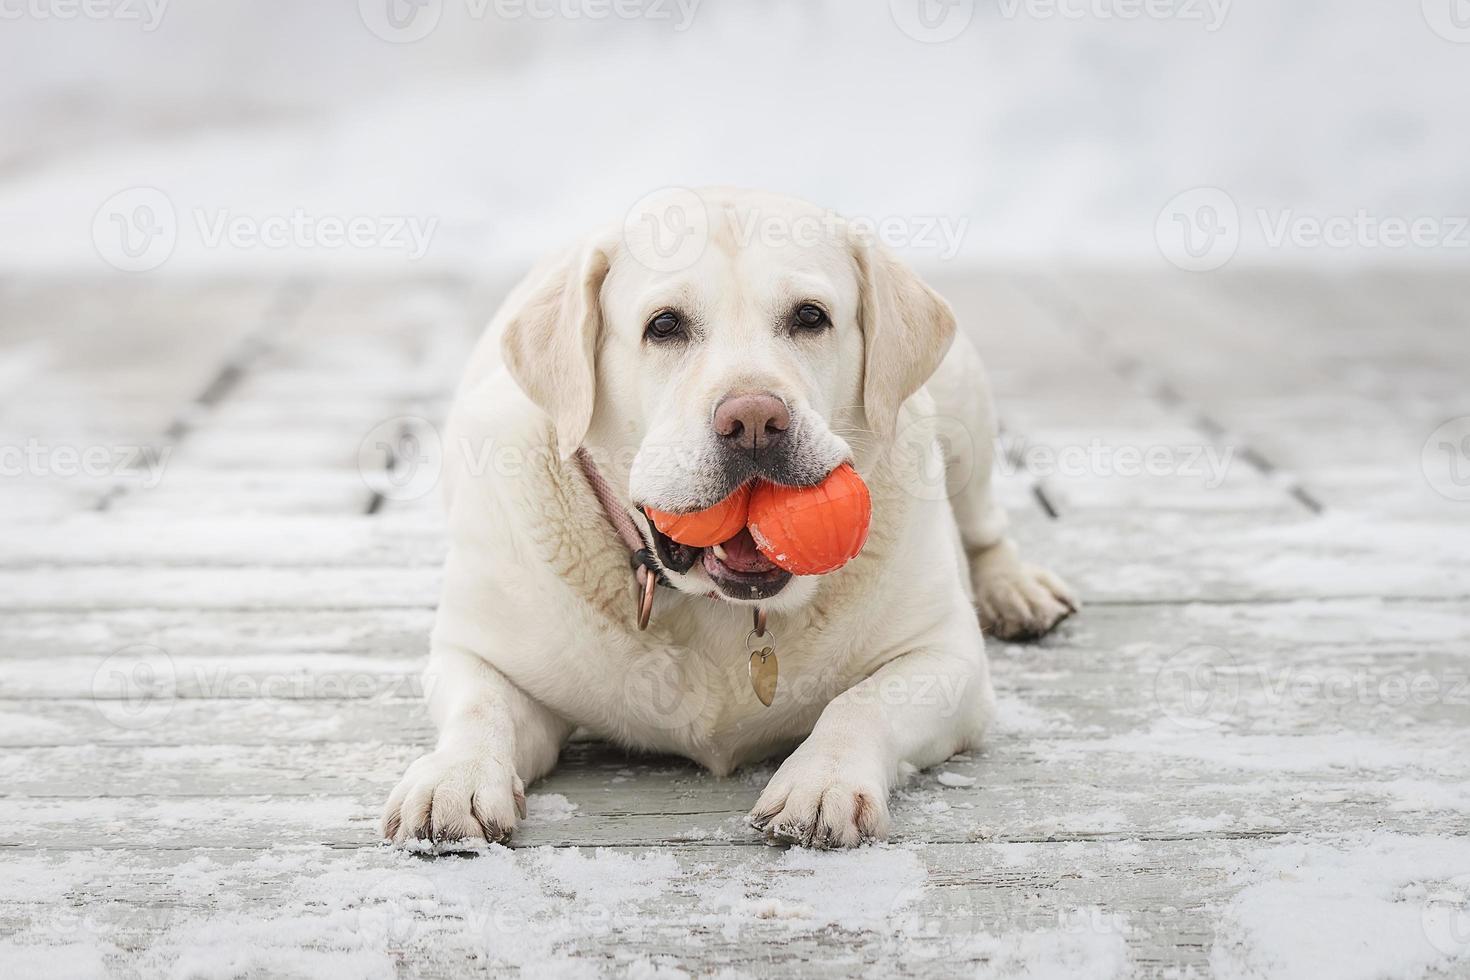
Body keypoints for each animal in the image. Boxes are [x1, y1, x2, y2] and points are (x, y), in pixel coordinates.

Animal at [385, 188, 1076, 846]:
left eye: (810, 317)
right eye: (664, 325)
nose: (754, 420)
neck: (720, 612)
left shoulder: (946, 657)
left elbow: (861, 702)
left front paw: (821, 783)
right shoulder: (475, 652)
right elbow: (481, 707)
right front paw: (452, 781)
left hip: (966, 410)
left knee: (984, 523)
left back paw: (1017, 591)